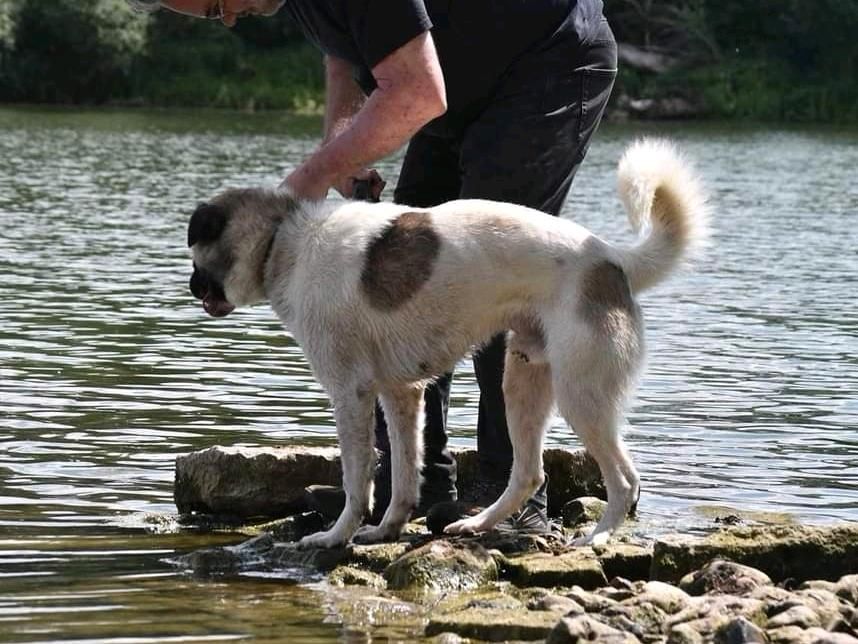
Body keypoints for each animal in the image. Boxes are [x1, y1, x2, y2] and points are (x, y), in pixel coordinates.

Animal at [187, 140, 708, 548]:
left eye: (195, 255)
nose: (191, 288)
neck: (283, 241)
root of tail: (611, 260)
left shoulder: (351, 393)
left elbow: (357, 479)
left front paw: (335, 536)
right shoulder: (401, 395)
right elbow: (403, 474)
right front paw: (387, 529)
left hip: (581, 396)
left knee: (623, 479)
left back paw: (596, 537)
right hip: (522, 382)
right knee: (529, 473)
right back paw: (478, 524)